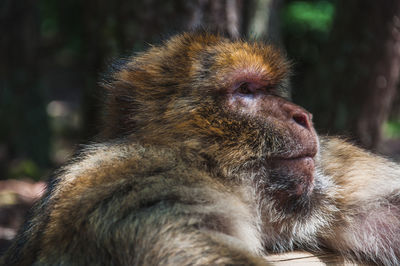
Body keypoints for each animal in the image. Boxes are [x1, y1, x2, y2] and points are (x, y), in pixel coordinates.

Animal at [2, 31, 400, 266]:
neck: (210, 167)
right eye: (245, 90)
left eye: (269, 90)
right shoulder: (146, 182)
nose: (303, 116)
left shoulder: (326, 177)